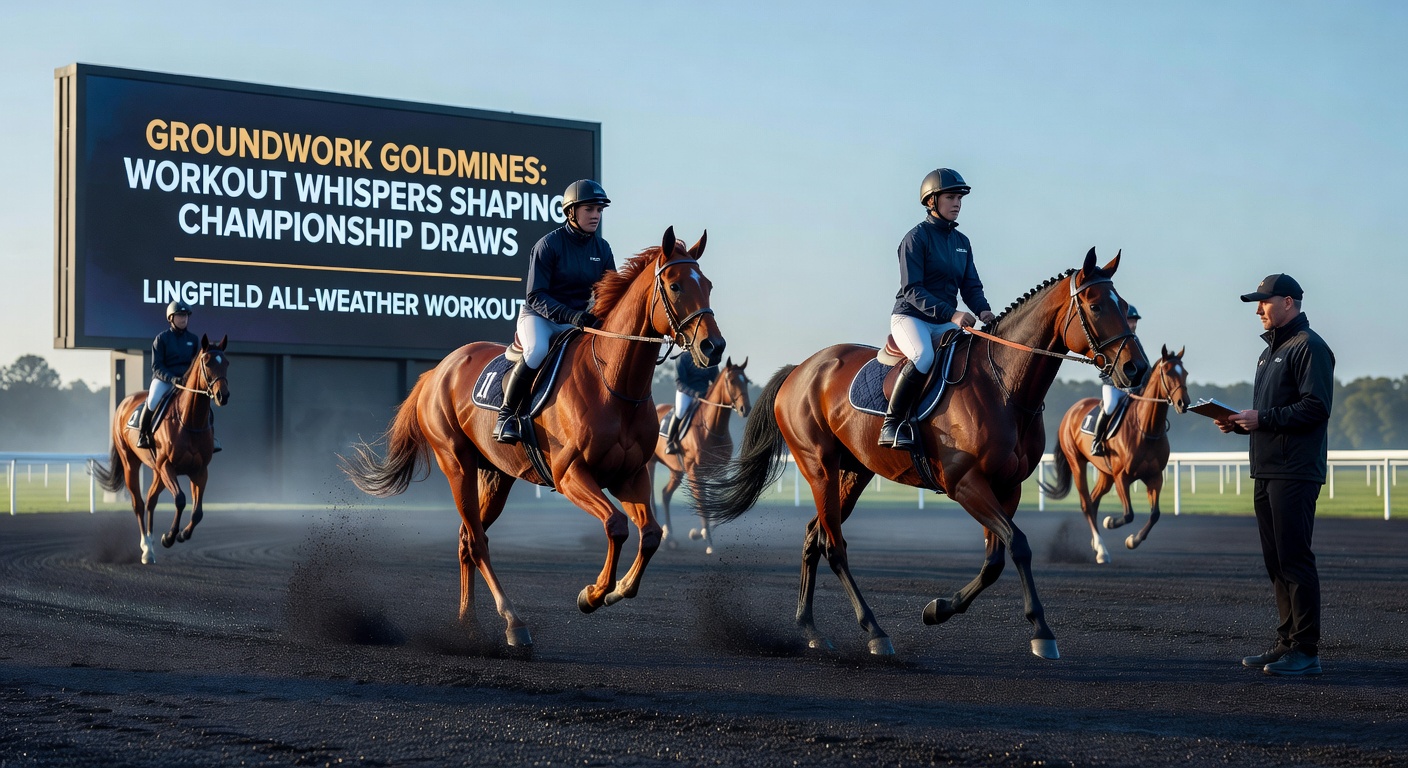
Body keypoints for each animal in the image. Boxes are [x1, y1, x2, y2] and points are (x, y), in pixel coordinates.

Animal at [94, 335, 231, 564]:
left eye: (226, 362)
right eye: (208, 362)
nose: (223, 395)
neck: (189, 420)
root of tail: (124, 402)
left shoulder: (199, 471)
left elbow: (198, 512)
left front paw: (183, 534)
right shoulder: (168, 466)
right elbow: (180, 500)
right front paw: (169, 537)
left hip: (157, 471)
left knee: (151, 501)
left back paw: (150, 547)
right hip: (131, 463)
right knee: (139, 503)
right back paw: (146, 548)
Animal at [342, 228, 725, 650]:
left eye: (707, 285)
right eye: (675, 285)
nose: (713, 347)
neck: (613, 381)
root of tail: (437, 371)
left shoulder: (631, 474)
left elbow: (651, 534)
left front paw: (619, 588)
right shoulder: (570, 474)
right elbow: (616, 525)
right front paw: (594, 594)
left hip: (496, 476)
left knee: (466, 537)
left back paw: (468, 623)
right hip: (457, 465)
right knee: (477, 541)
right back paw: (513, 622)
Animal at [649, 357, 751, 553]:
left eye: (747, 381)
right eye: (732, 380)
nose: (745, 408)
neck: (711, 429)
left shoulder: (719, 472)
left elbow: (716, 505)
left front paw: (700, 533)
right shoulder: (694, 472)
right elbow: (702, 504)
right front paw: (707, 540)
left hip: (676, 470)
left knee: (665, 494)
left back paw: (669, 537)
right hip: (650, 464)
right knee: (651, 496)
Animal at [701, 248, 1148, 659]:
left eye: (1124, 304)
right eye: (1096, 305)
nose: (1137, 369)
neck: (1003, 385)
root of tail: (800, 369)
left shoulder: (1007, 488)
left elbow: (995, 560)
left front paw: (939, 609)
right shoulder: (965, 484)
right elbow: (1018, 544)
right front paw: (1041, 631)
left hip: (853, 473)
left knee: (815, 535)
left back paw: (809, 628)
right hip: (819, 469)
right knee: (834, 546)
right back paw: (875, 631)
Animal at [1039, 345, 1190, 563]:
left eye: (1185, 373)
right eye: (1168, 373)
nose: (1183, 403)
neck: (1146, 429)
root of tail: (1072, 411)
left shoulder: (1155, 477)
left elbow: (1155, 514)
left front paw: (1133, 540)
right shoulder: (1122, 477)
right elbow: (1128, 514)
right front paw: (1110, 522)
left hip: (1105, 473)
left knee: (1093, 501)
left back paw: (1097, 544)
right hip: (1077, 462)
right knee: (1086, 503)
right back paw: (1102, 550)